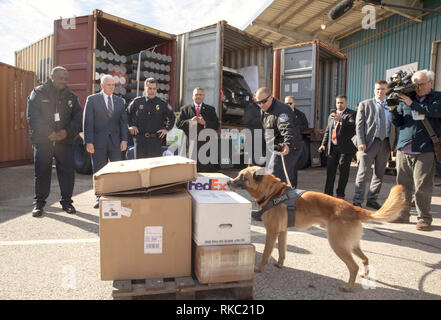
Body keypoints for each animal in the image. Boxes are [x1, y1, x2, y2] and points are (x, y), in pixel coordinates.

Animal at [229, 166, 404, 292]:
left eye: (242, 177)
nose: (229, 182)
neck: (273, 193)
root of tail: (353, 209)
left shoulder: (271, 232)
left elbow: (266, 254)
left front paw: (259, 268)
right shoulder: (283, 232)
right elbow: (282, 252)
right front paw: (280, 264)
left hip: (338, 244)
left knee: (353, 266)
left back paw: (348, 287)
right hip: (351, 244)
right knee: (365, 258)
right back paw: (364, 274)